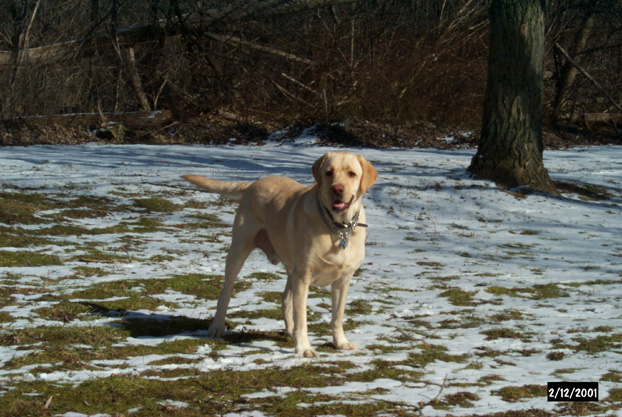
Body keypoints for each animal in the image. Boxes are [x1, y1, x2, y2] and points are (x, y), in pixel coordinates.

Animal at [183, 151, 378, 356]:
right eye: (329, 173)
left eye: (351, 174)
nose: (337, 189)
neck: (336, 228)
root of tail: (253, 183)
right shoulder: (303, 276)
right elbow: (302, 318)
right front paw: (304, 348)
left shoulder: (343, 280)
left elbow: (337, 317)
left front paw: (341, 343)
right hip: (239, 249)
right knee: (226, 291)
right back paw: (217, 326)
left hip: (291, 266)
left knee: (285, 298)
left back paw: (290, 330)